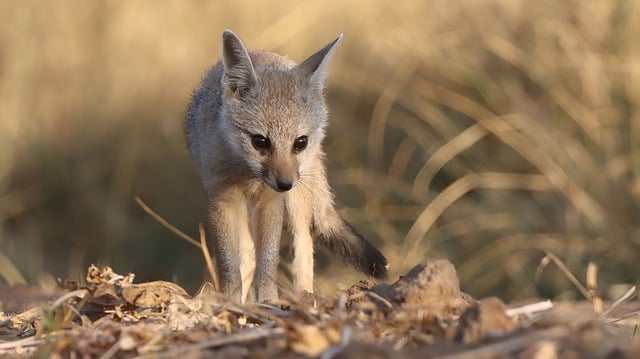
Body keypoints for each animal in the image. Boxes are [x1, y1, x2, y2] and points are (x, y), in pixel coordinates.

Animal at [182, 30, 388, 304]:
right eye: (260, 141)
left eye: (300, 142)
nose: (284, 183)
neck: (246, 173)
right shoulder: (222, 199)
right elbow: (230, 264)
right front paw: (230, 301)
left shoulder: (271, 201)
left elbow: (268, 261)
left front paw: (268, 301)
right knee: (248, 255)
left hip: (296, 202)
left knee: (304, 247)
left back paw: (305, 298)